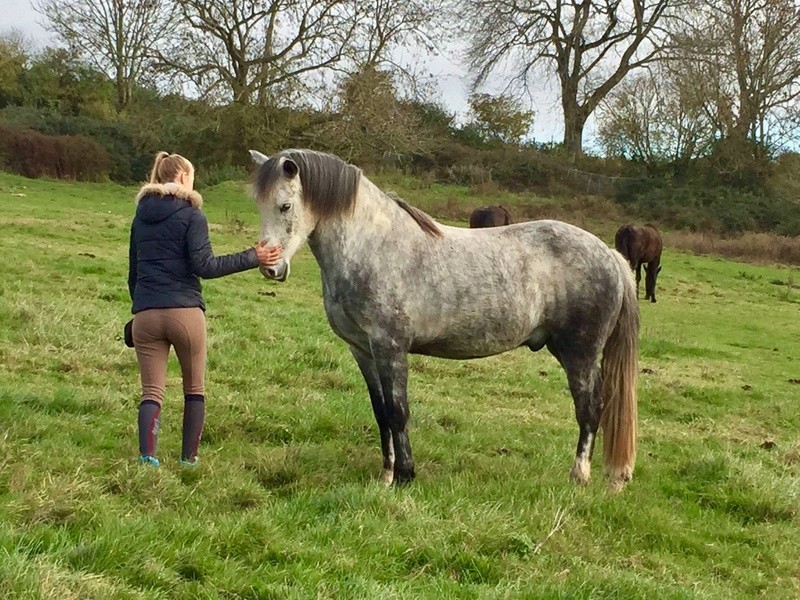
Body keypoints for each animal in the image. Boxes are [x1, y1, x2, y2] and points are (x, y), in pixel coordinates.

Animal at [248, 148, 636, 490]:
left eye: (285, 206)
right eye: (259, 205)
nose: (270, 267)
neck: (372, 245)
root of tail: (610, 255)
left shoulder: (391, 348)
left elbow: (398, 412)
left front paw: (405, 477)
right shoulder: (363, 350)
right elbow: (381, 413)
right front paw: (386, 476)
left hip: (580, 354)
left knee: (590, 409)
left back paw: (579, 476)